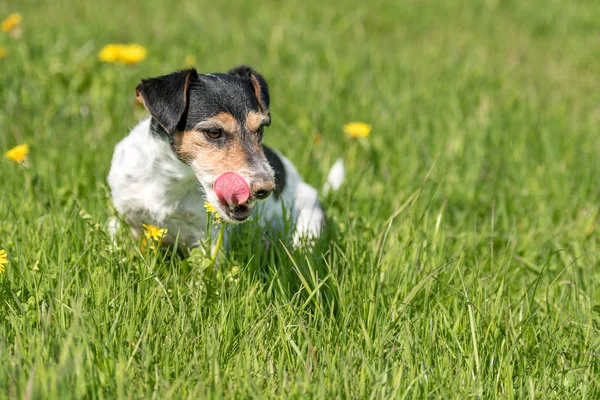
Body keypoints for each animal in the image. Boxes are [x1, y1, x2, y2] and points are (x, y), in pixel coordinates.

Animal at [107, 65, 342, 250]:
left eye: (260, 129)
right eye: (213, 132)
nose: (266, 189)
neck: (172, 182)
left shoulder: (207, 239)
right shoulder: (122, 216)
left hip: (309, 222)